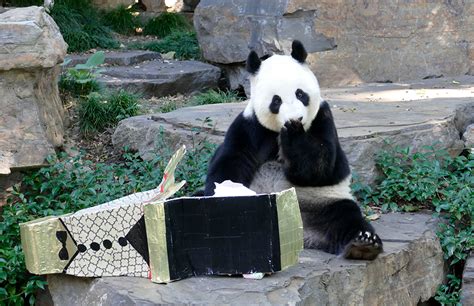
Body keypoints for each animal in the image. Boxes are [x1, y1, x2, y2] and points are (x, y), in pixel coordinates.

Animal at [203, 40, 382, 260]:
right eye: (276, 100)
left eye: (300, 94)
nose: (297, 118)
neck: (278, 130)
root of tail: (300, 234)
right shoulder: (250, 126)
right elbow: (232, 161)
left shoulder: (322, 119)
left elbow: (320, 167)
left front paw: (293, 136)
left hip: (323, 202)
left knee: (346, 216)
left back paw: (363, 244)